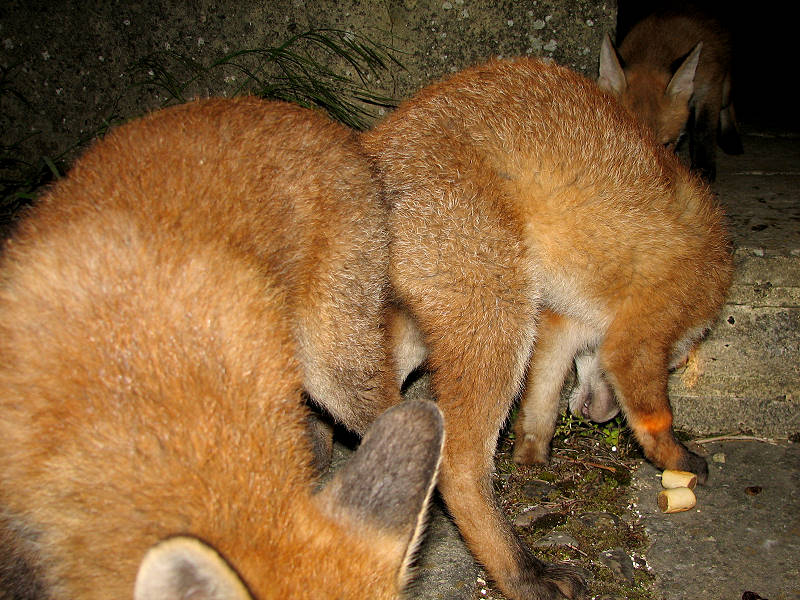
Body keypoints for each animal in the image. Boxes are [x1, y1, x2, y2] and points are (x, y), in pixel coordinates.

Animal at [361, 57, 733, 600]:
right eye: (672, 363)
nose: (602, 416)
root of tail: (377, 143)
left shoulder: (563, 321)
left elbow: (542, 397)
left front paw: (533, 454)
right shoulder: (642, 328)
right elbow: (653, 416)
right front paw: (678, 459)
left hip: (417, 330)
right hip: (499, 316)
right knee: (458, 464)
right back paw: (524, 572)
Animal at [597, 7, 743, 181]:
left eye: (665, 145)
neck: (654, 49)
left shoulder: (709, 87)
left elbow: (704, 131)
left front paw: (703, 170)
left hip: (724, 91)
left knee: (727, 103)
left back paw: (731, 137)